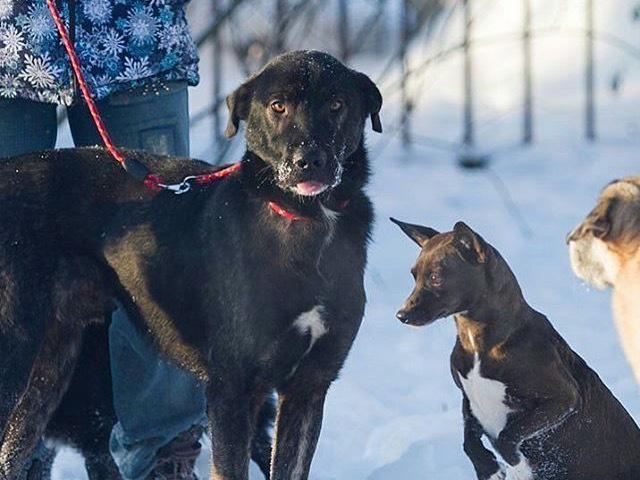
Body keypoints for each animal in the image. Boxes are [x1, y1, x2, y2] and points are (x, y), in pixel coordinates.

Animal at [0, 49, 380, 480]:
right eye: (277, 106)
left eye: (336, 104)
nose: (308, 161)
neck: (308, 221)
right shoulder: (231, 388)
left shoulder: (308, 388)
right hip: (15, 350)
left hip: (49, 369)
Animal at [392, 220, 640, 480]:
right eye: (414, 276)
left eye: (436, 277)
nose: (401, 315)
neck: (479, 344)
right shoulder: (467, 397)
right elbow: (469, 440)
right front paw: (487, 467)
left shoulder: (563, 398)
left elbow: (507, 436)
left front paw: (514, 463)